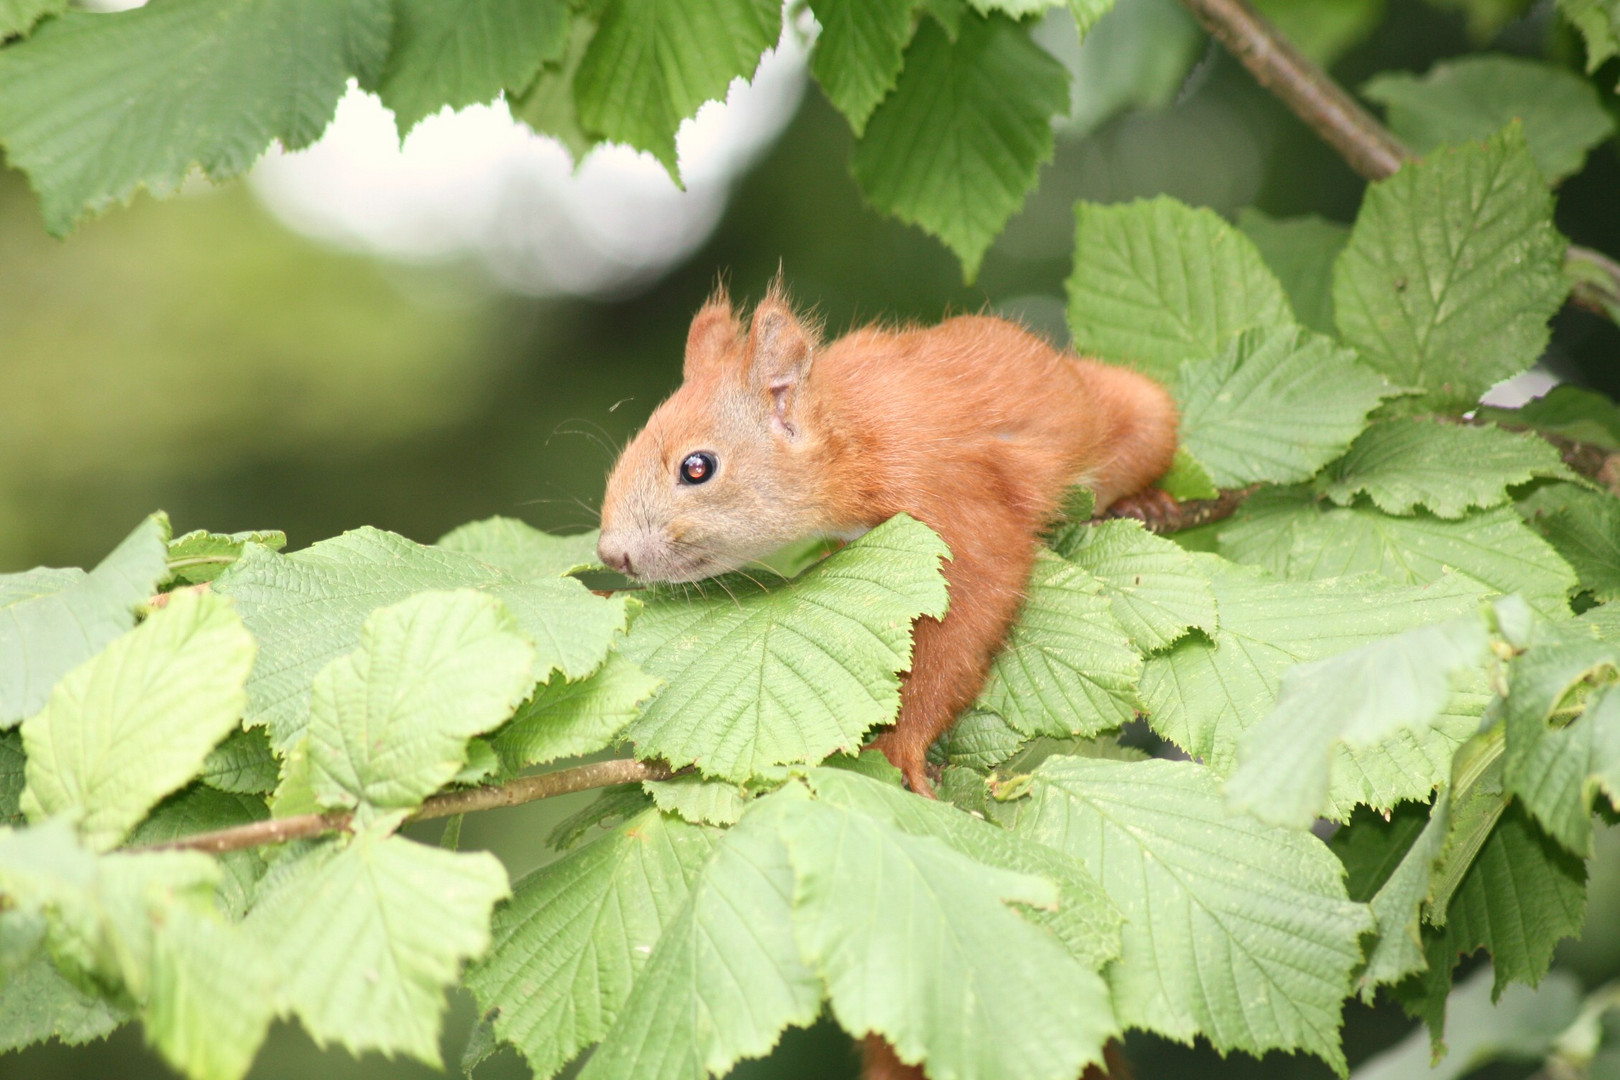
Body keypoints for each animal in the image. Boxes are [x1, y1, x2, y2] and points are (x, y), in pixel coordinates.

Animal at [596, 283, 1179, 799]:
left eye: (697, 467)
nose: (610, 553)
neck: (857, 434)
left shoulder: (952, 500)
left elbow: (970, 616)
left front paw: (900, 746)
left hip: (1140, 416)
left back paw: (1148, 501)